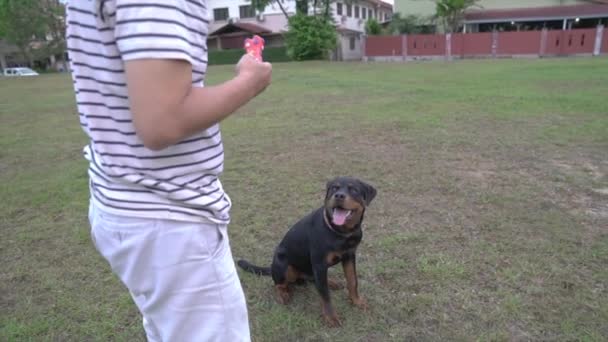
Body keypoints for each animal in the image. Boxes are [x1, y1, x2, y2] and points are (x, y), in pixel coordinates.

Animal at [236, 176, 376, 326]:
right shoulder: (319, 264)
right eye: (334, 188)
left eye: (354, 189)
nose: (338, 196)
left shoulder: (349, 256)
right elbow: (325, 296)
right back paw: (283, 294)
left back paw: (331, 282)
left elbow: (353, 281)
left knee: (313, 279)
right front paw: (331, 317)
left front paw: (357, 302)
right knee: (278, 284)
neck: (341, 233)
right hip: (283, 263)